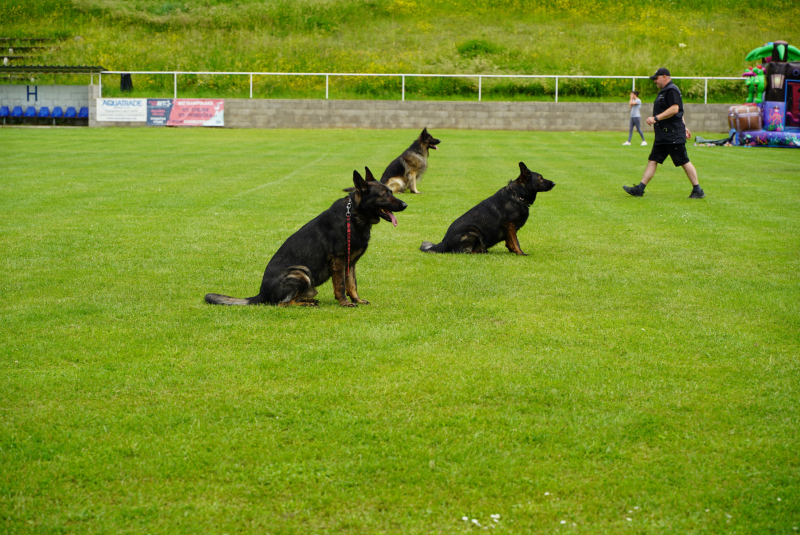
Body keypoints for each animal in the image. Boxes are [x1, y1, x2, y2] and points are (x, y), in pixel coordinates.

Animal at [206, 168, 406, 310]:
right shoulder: (339, 261)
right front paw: (344, 303)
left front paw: (357, 300)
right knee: (281, 304)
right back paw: (306, 304)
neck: (354, 215)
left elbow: (352, 285)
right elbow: (341, 285)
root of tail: (261, 294)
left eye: (391, 191)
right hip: (301, 273)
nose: (405, 204)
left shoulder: (351, 263)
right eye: (385, 195)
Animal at [418, 162, 556, 256]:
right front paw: (520, 253)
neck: (518, 194)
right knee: (463, 252)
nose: (554, 183)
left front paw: (513, 251)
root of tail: (444, 242)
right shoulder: (510, 225)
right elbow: (516, 242)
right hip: (473, 231)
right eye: (541, 178)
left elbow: (510, 242)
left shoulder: (509, 229)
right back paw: (482, 251)